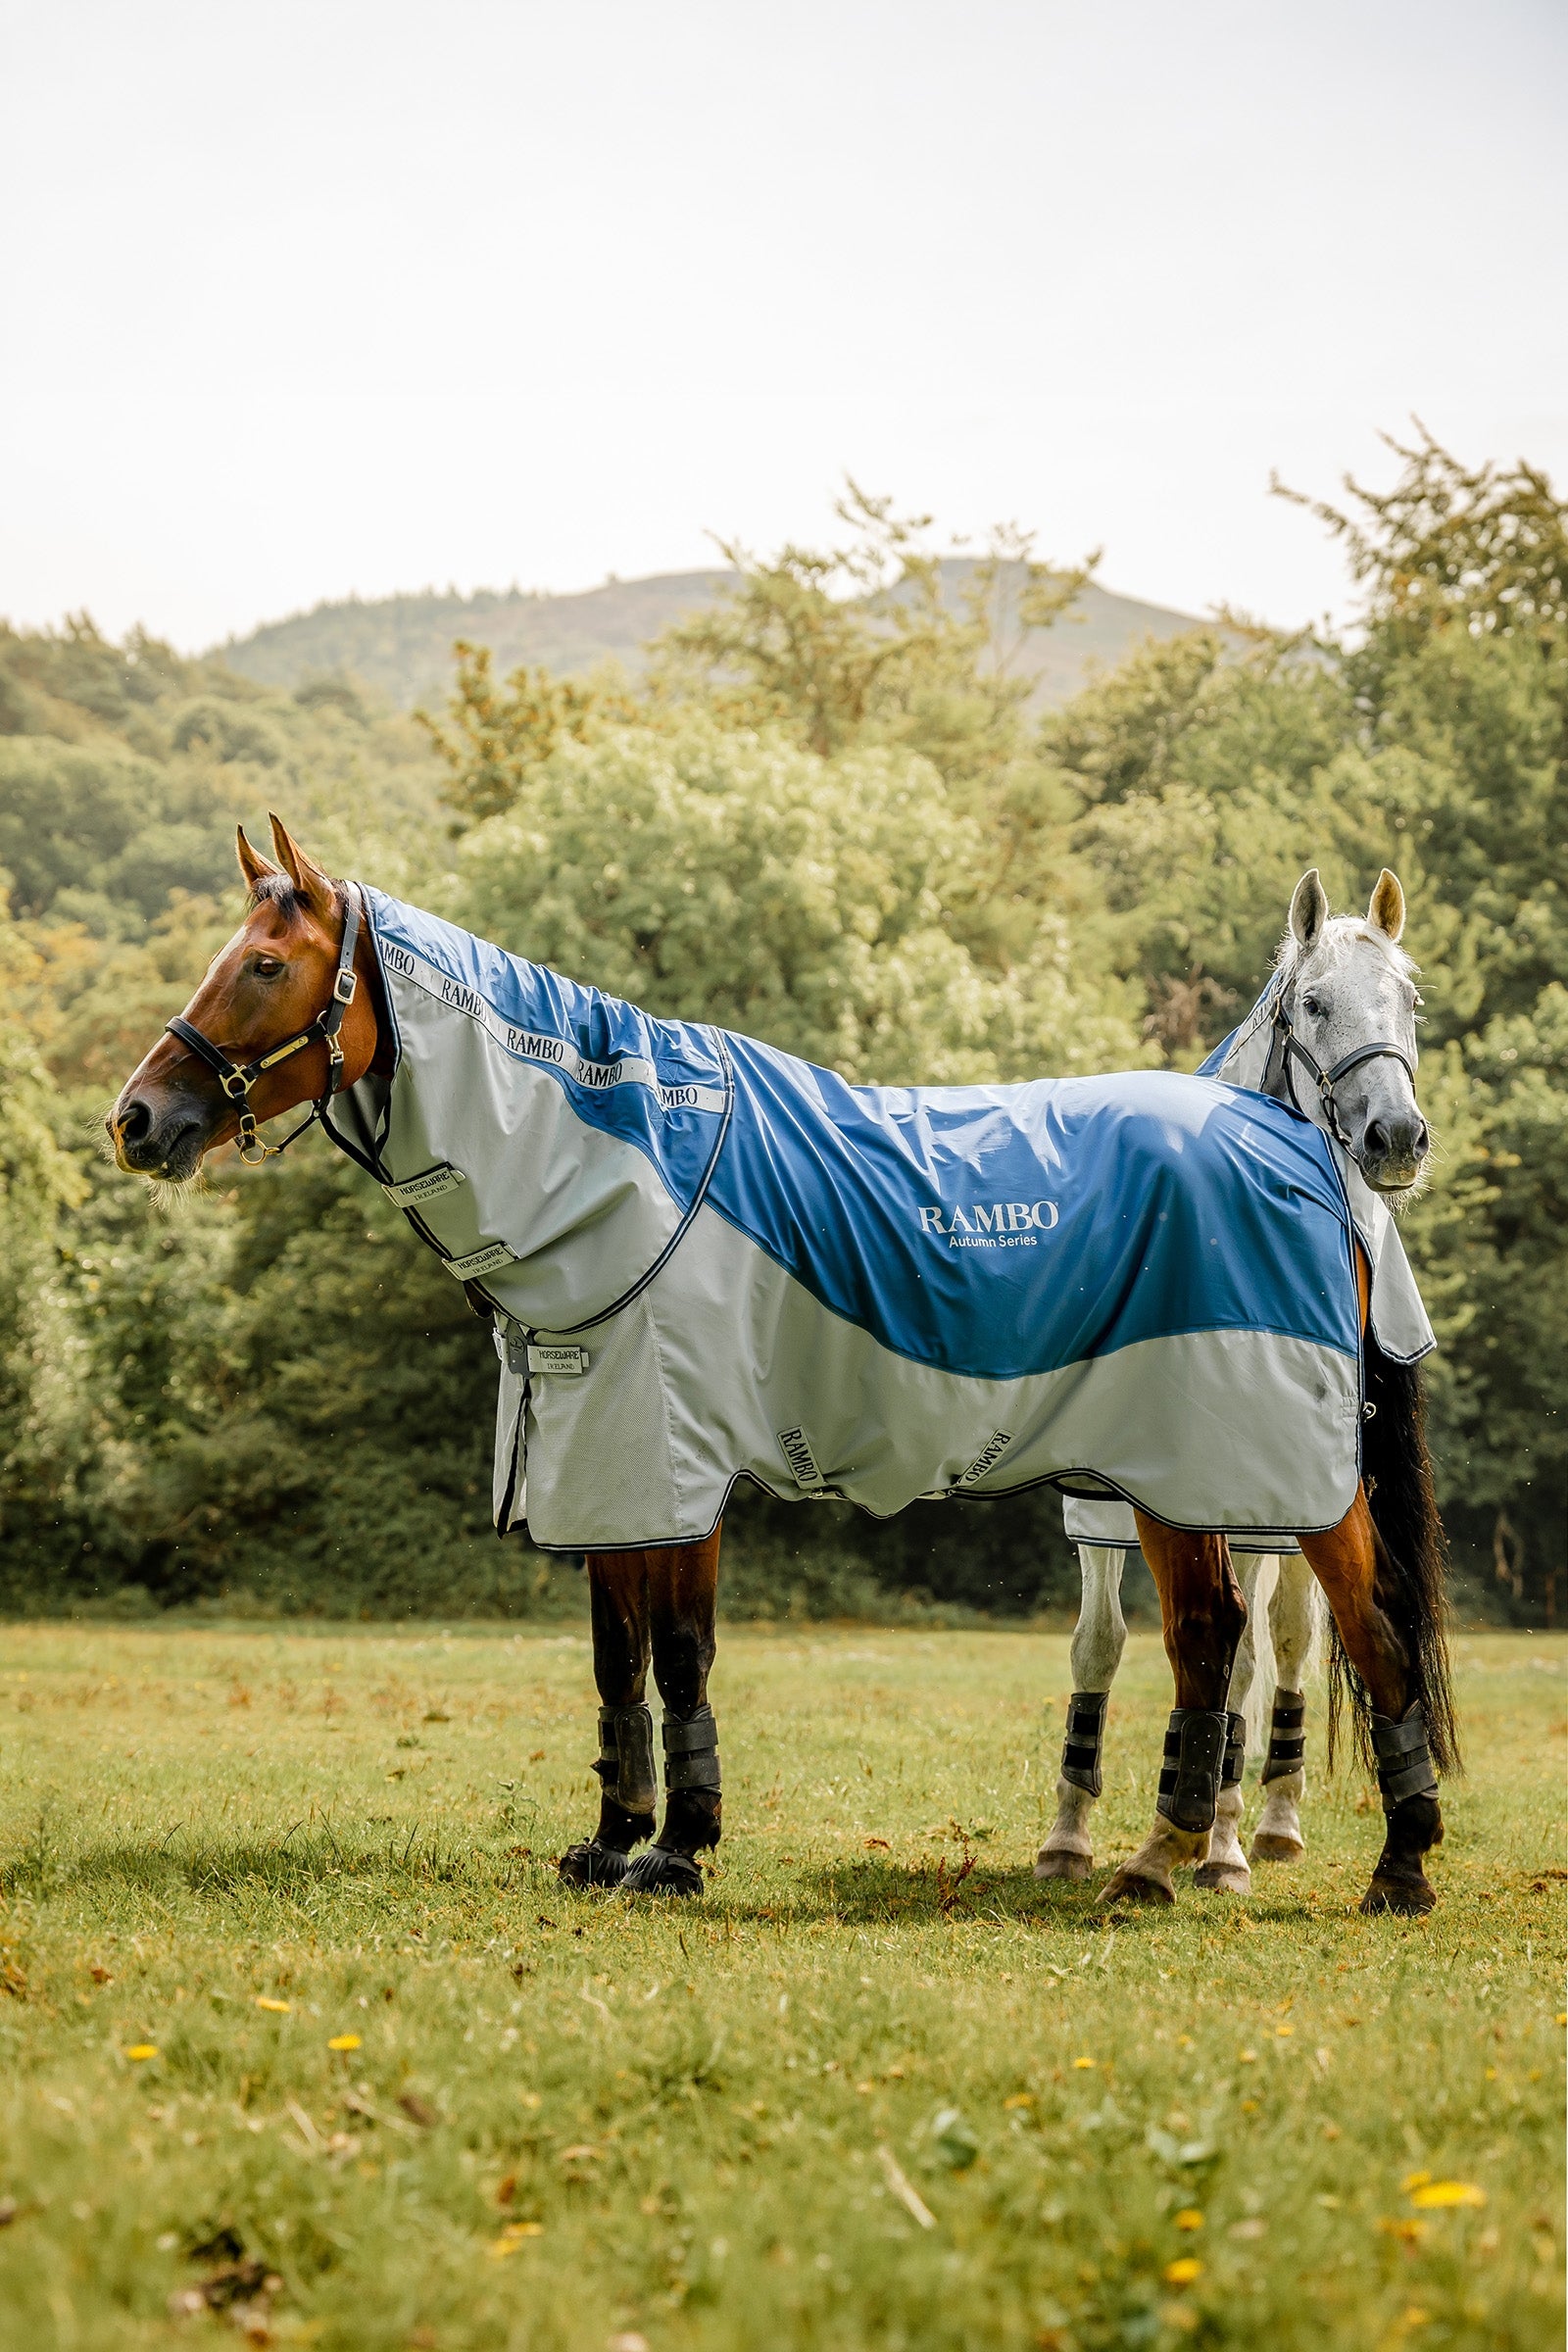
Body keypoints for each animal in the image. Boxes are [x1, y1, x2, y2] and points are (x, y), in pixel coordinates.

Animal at [108, 822, 1456, 1917]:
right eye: (1313, 1004)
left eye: (265, 966)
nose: (136, 1119)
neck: (627, 1168)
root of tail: (1302, 1154)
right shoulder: (604, 1471)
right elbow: (617, 1661)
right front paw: (610, 1845)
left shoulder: (677, 1474)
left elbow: (680, 1654)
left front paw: (679, 1852)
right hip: (1177, 1483)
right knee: (1213, 1639)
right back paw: (1166, 1865)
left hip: (1264, 1477)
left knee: (1351, 1628)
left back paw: (1376, 1867)